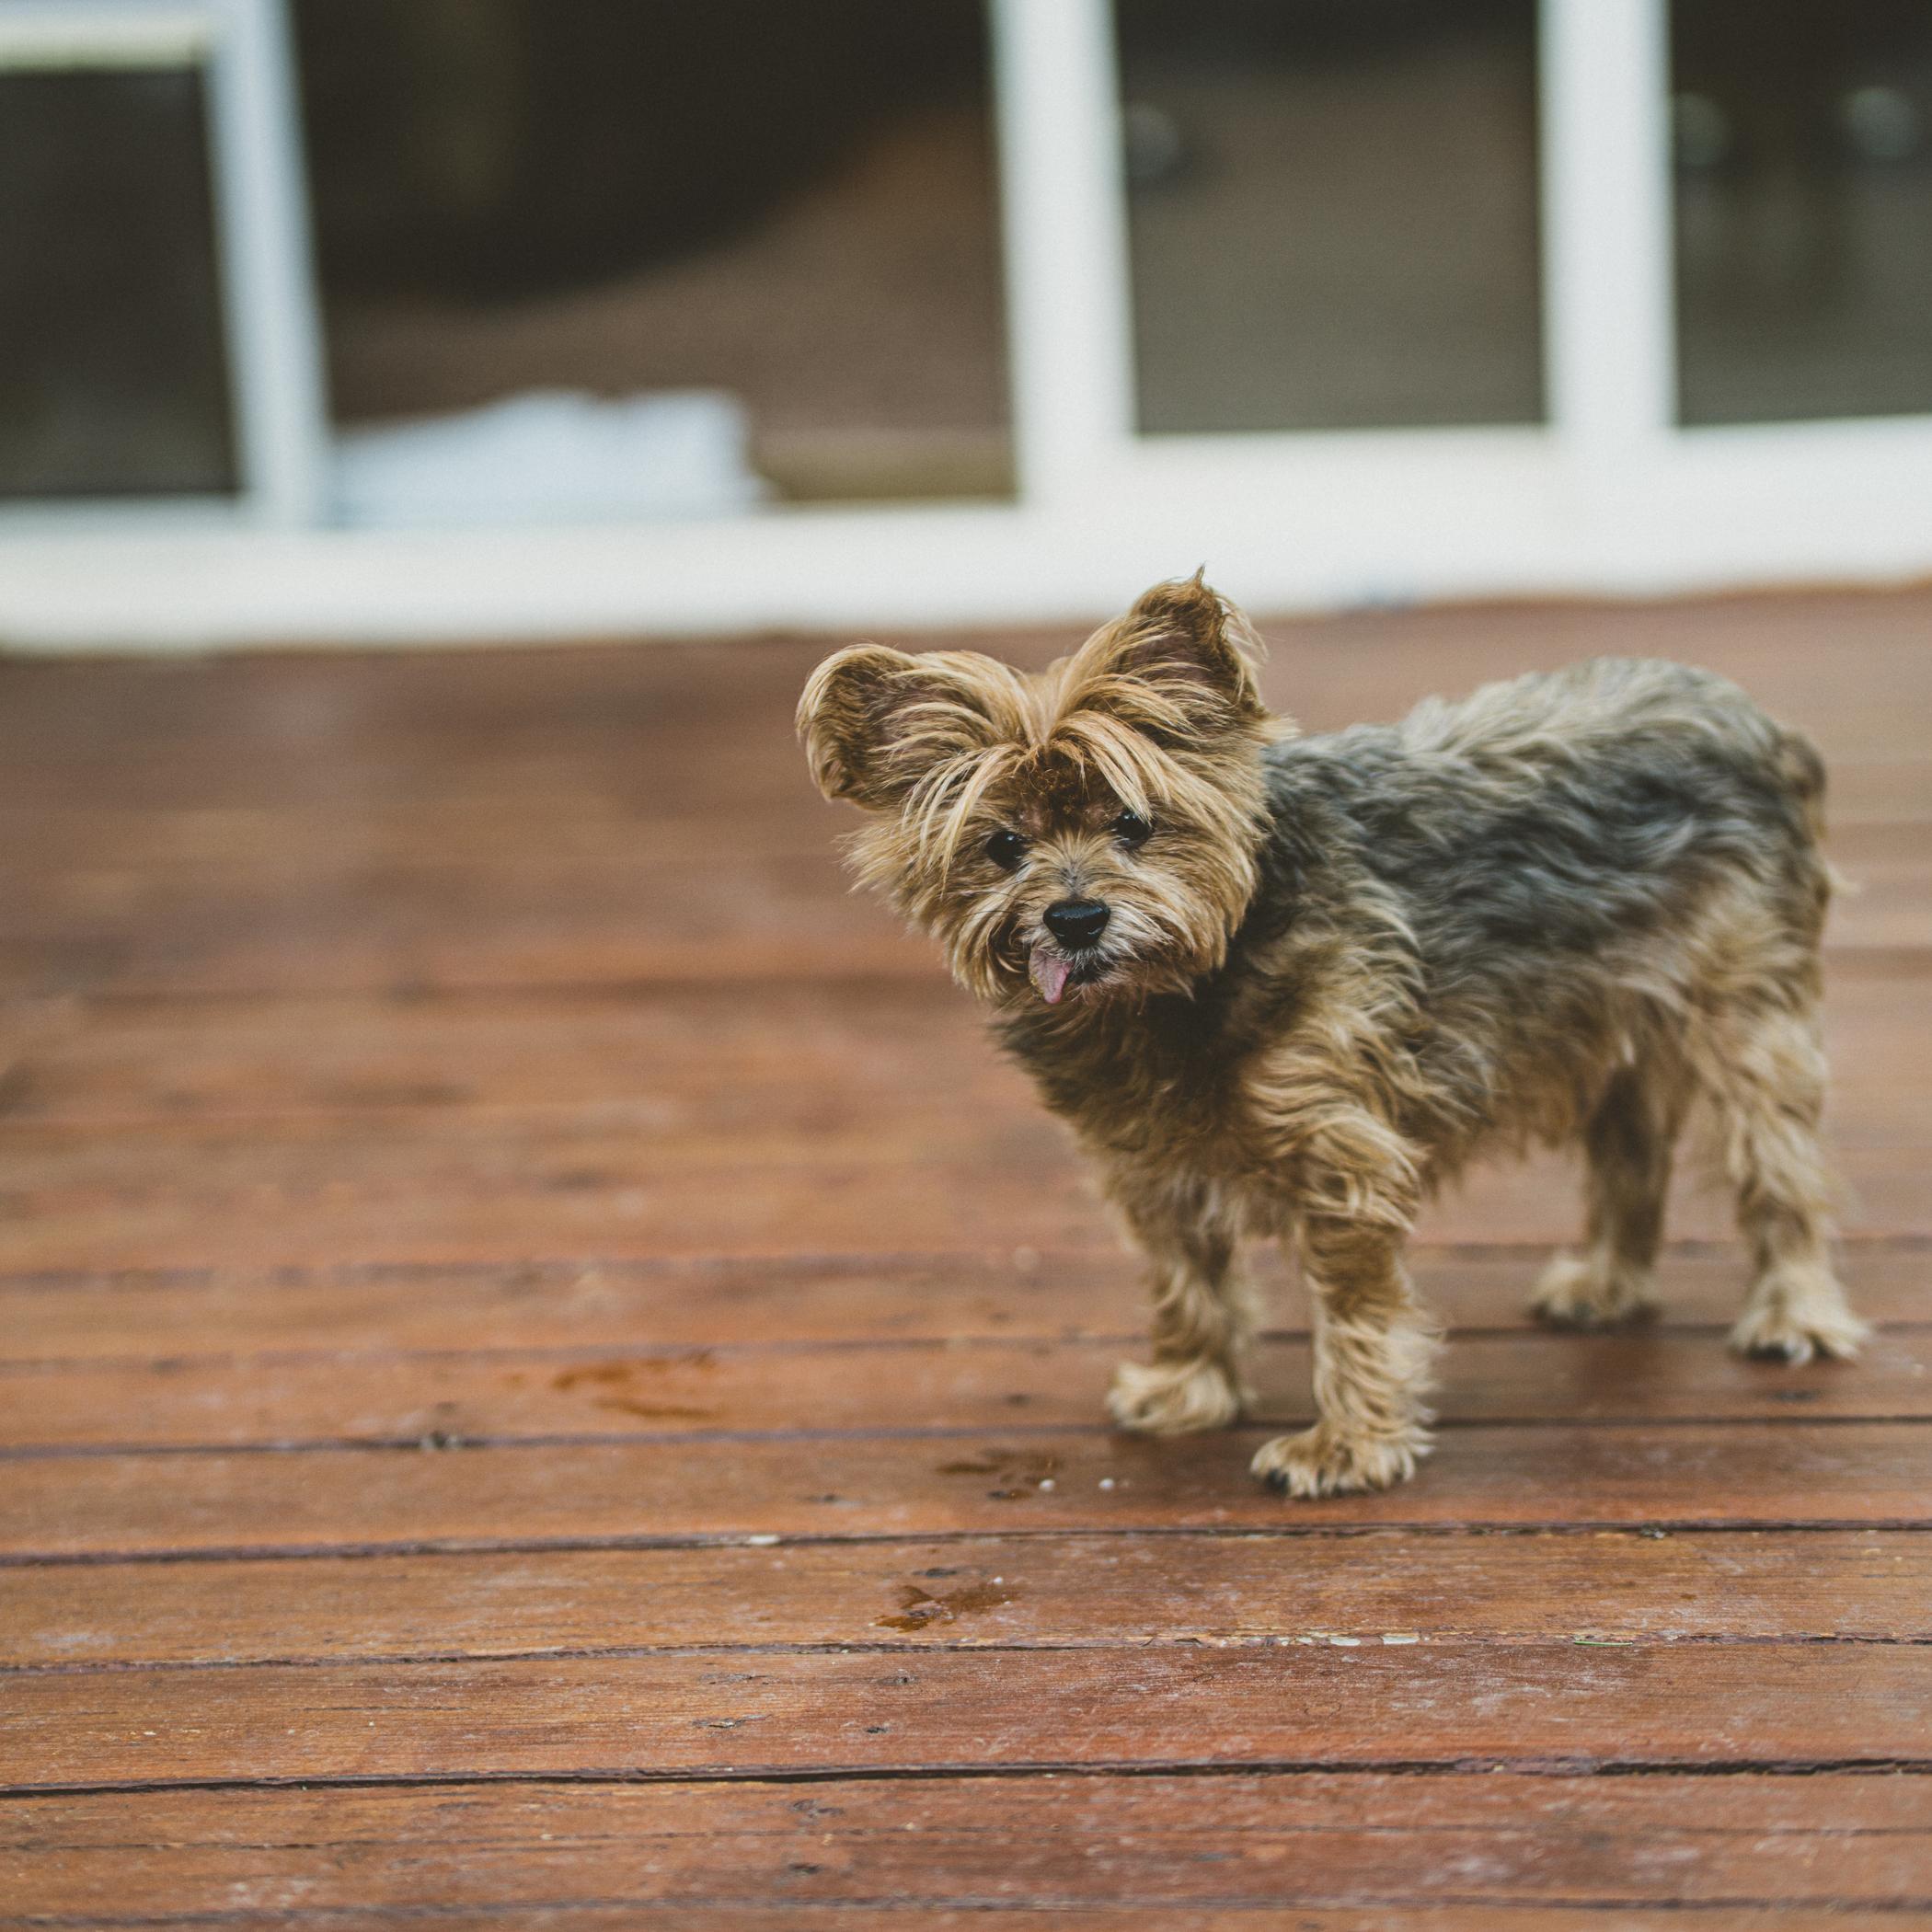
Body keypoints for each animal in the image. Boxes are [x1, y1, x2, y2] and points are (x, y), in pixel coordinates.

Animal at [797, 575, 1864, 1495]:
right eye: (1002, 846)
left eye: (1135, 823)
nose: (1075, 918)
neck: (1170, 994)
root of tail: (1749, 715)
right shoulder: (1145, 1164)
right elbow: (1184, 1281)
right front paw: (1189, 1387)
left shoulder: (1340, 1150)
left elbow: (1355, 1311)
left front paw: (1348, 1444)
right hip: (1598, 1021)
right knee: (1629, 1147)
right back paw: (1608, 1283)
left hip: (1745, 1016)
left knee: (1778, 1169)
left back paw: (1793, 1314)